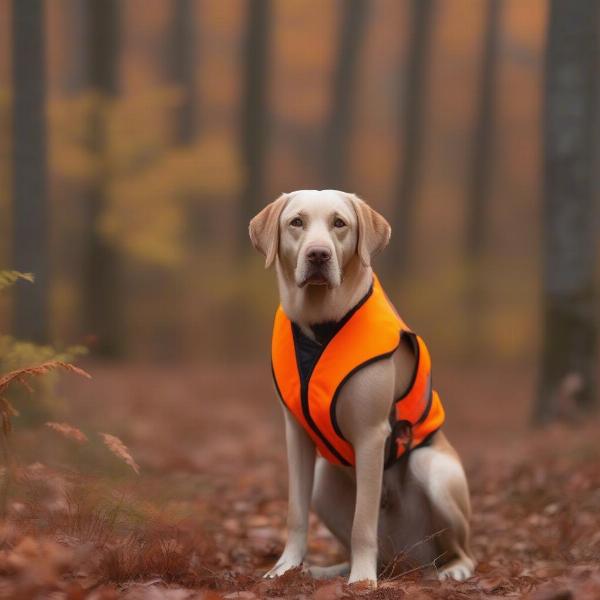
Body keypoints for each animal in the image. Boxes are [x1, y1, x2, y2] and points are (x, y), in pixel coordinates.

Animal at [248, 190, 474, 584]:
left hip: (434, 469)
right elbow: (295, 514)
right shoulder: (295, 434)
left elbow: (363, 523)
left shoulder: (371, 435)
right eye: (296, 222)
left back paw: (450, 570)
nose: (318, 255)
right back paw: (329, 570)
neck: (318, 326)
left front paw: (363, 581)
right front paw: (285, 568)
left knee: (461, 551)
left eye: (339, 223)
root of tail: (407, 561)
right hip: (323, 484)